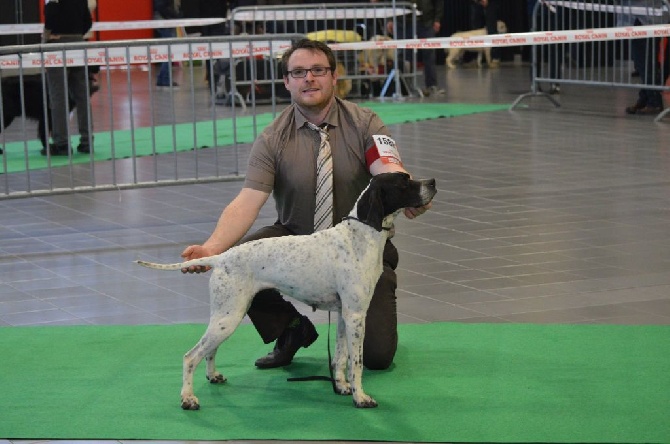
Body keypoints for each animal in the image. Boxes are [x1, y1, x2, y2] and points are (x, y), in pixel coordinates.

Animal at [137, 173, 440, 410]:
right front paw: (360, 398)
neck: (361, 236)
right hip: (228, 316)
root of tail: (221, 257)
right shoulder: (356, 315)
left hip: (228, 315)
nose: (433, 183)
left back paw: (213, 376)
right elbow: (357, 363)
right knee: (191, 356)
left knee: (209, 350)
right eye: (404, 182)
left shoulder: (345, 315)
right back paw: (188, 399)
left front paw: (341, 387)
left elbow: (340, 358)